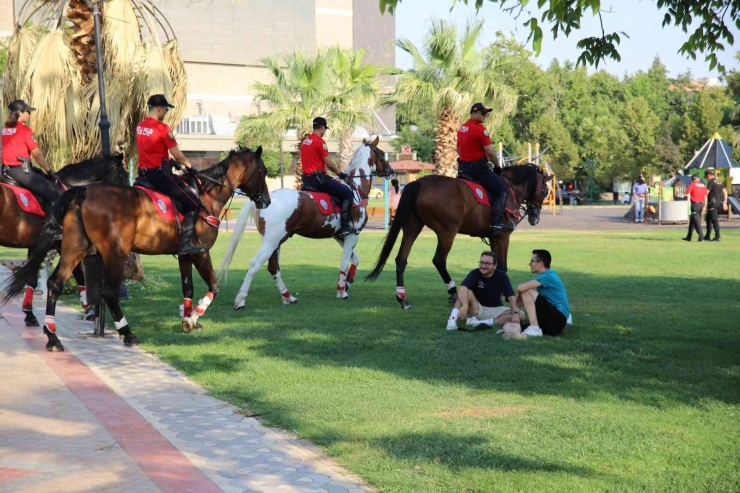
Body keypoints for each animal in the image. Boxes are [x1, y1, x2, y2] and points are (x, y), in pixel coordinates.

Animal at [0, 153, 129, 322]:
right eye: (124, 176)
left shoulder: (37, 246)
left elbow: (31, 278)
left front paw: (28, 312)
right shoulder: (65, 245)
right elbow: (78, 276)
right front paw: (88, 310)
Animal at [217, 136, 394, 310]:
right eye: (382, 153)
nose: (391, 171)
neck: (355, 188)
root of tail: (263, 200)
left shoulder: (341, 236)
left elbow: (355, 259)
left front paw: (347, 283)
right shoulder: (352, 235)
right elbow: (344, 263)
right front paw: (341, 291)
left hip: (276, 242)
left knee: (273, 268)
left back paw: (288, 297)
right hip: (271, 242)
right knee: (255, 265)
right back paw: (241, 299)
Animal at [368, 164, 552, 308]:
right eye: (545, 190)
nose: (535, 217)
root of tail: (419, 182)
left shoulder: (494, 238)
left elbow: (495, 265)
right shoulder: (502, 237)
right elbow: (503, 267)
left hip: (412, 227)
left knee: (401, 259)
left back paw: (402, 298)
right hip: (447, 232)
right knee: (439, 260)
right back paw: (453, 292)